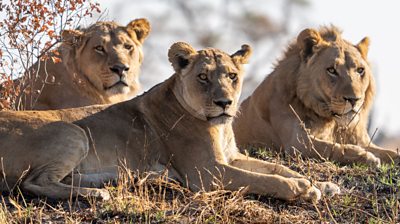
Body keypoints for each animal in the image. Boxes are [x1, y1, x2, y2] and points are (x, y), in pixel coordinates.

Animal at [0, 42, 340, 201]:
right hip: (73, 132)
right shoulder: (208, 172)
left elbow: (277, 167)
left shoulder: (231, 157)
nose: (225, 103)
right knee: (33, 182)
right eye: (203, 77)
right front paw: (299, 188)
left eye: (232, 76)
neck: (219, 126)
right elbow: (263, 179)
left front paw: (319, 184)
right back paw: (96, 194)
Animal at [233, 25, 398, 166]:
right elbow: (332, 148)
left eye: (360, 70)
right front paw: (366, 157)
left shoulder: (361, 140)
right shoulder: (296, 143)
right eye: (331, 70)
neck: (331, 121)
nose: (354, 100)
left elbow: (391, 153)